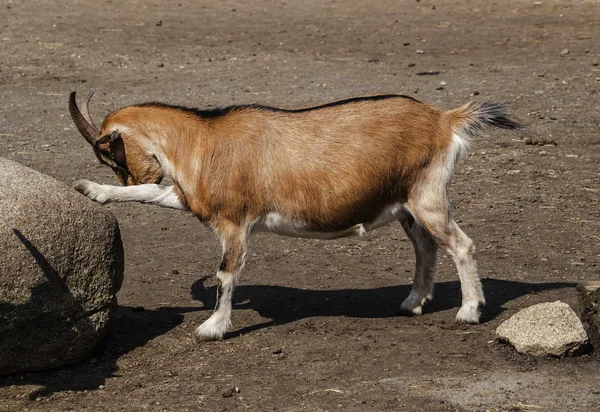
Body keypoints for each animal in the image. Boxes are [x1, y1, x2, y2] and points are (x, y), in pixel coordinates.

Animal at [69, 91, 520, 340]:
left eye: (111, 154)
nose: (132, 174)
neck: (201, 141)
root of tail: (445, 119)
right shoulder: (194, 200)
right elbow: (151, 194)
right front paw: (91, 190)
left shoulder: (235, 223)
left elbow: (226, 274)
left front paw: (213, 328)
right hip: (407, 205)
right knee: (426, 247)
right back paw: (412, 302)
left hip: (428, 197)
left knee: (462, 245)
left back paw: (468, 311)